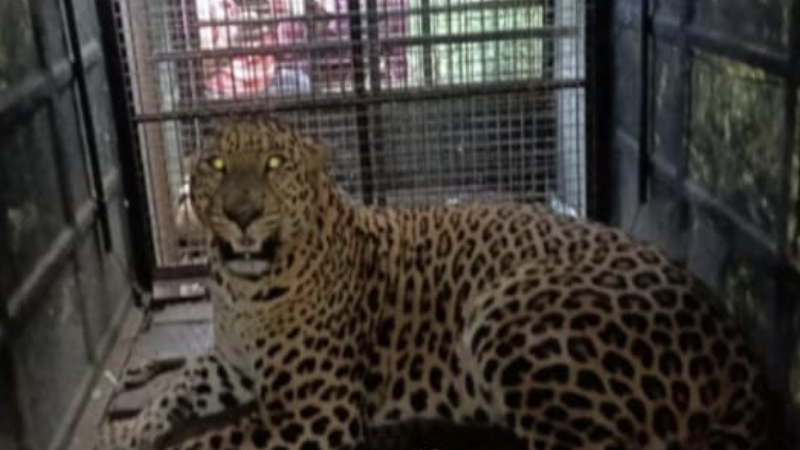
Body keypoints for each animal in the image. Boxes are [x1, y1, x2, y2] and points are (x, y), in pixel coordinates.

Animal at [95, 115, 776, 450]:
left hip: (508, 310)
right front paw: (126, 429)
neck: (242, 286)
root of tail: (738, 350)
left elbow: (204, 443)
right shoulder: (232, 364)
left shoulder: (315, 410)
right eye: (214, 164)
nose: (239, 213)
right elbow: (176, 386)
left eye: (274, 163)